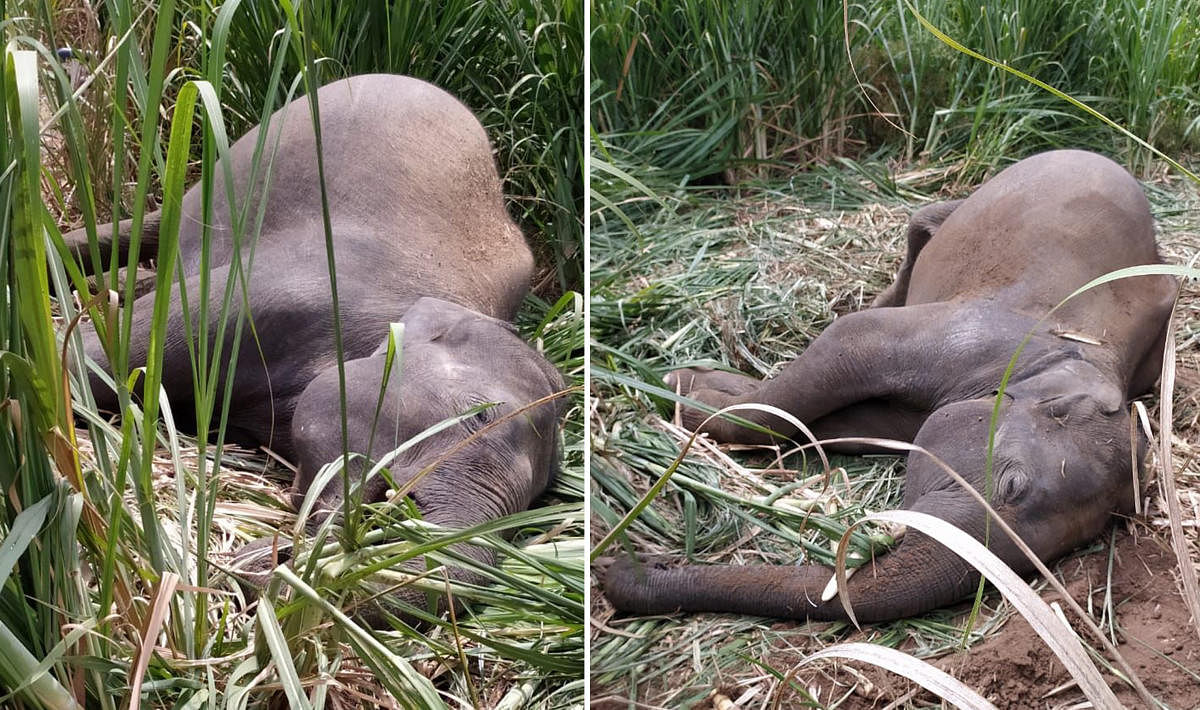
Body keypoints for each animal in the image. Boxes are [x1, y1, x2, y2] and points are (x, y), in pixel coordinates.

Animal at [600, 148, 1171, 623]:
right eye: (1012, 485)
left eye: (1055, 558)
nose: (626, 568)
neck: (1077, 358)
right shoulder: (965, 337)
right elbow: (849, 344)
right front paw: (681, 393)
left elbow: (846, 427)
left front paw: (695, 387)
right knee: (921, 229)